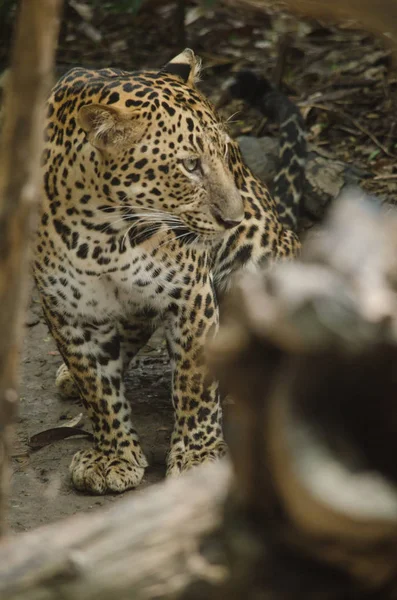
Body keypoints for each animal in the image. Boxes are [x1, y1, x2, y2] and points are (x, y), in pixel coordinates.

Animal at [33, 49, 304, 494]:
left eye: (226, 154)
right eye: (190, 165)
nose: (233, 218)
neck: (104, 236)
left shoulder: (191, 294)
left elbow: (194, 380)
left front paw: (198, 455)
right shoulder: (67, 310)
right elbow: (96, 386)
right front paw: (113, 455)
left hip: (263, 255)